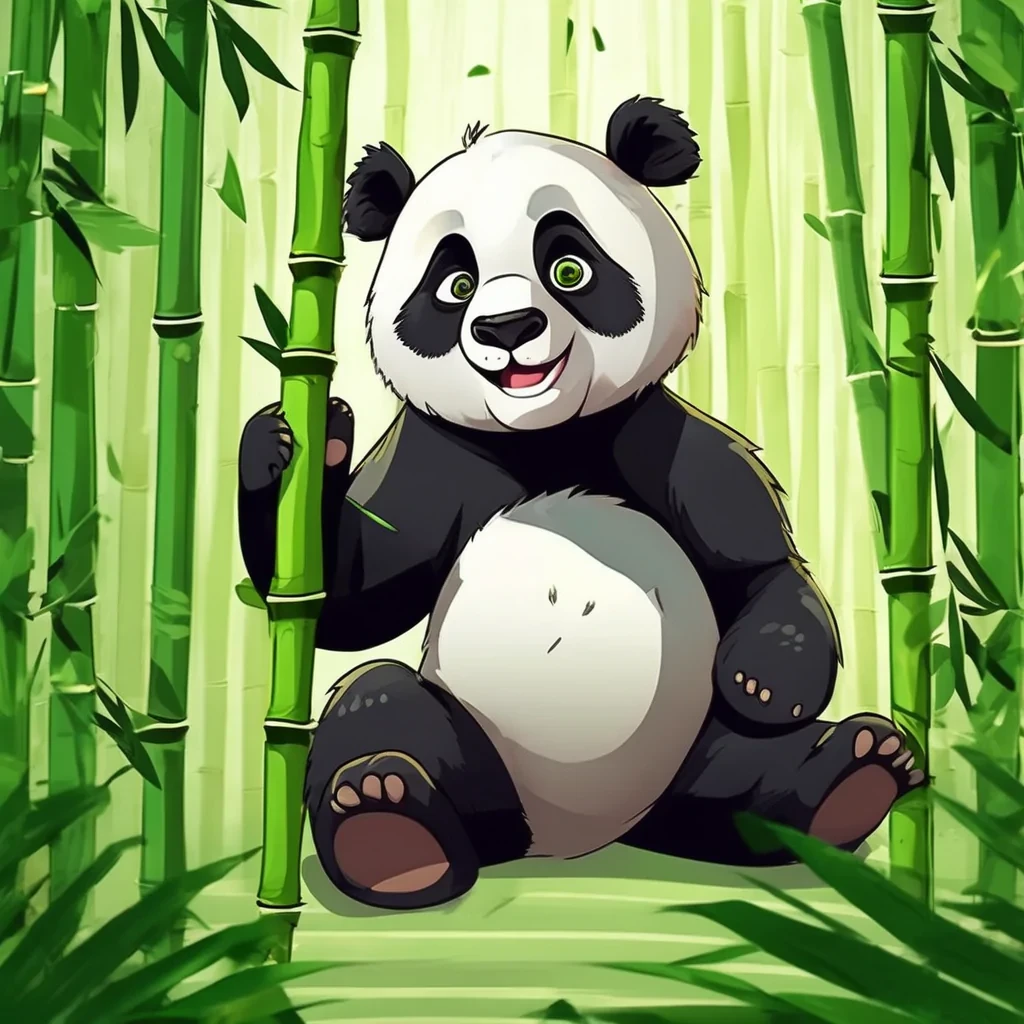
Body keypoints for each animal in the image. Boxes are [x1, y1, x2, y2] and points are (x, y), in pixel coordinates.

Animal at [238, 98, 925, 911]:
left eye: (569, 268)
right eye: (455, 285)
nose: (507, 330)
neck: (547, 437)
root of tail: (566, 841)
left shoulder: (664, 440)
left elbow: (758, 567)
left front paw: (764, 680)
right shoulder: (438, 458)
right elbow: (353, 597)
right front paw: (297, 441)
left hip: (690, 754)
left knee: (748, 779)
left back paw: (853, 774)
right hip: (481, 763)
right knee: (376, 703)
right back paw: (389, 829)